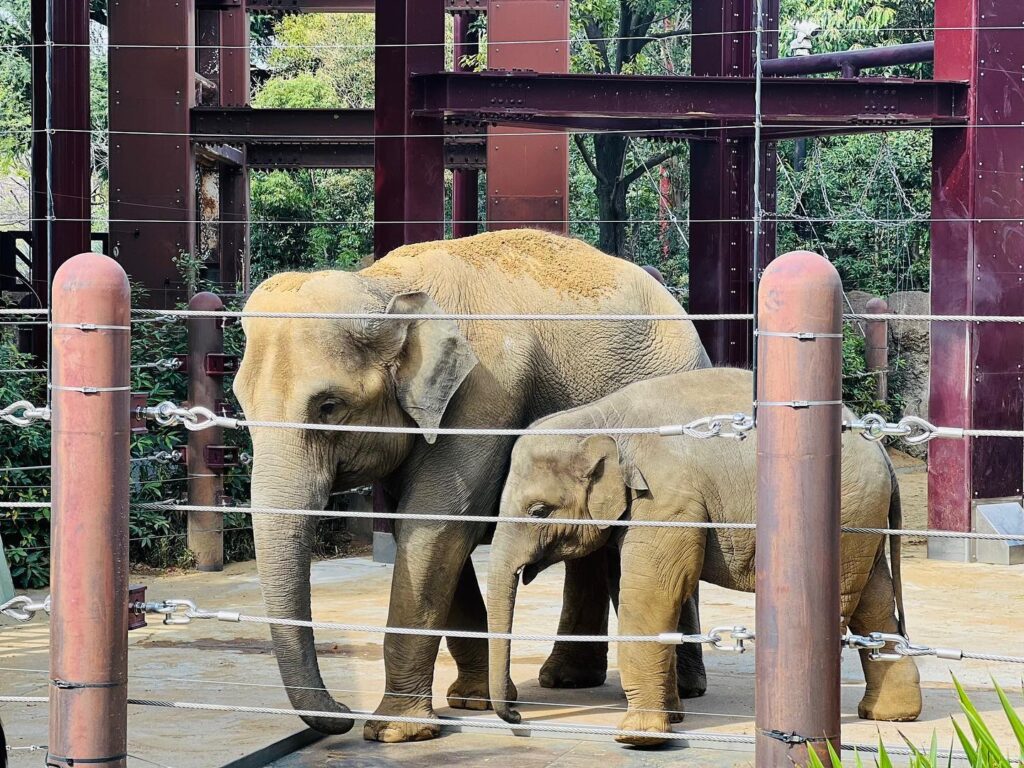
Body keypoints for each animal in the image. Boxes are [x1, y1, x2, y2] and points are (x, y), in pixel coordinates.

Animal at [232, 230, 712, 745]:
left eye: (328, 406)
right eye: (241, 403)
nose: (342, 711)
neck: (386, 287)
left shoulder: (483, 396)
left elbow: (436, 528)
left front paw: (392, 732)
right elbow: (429, 535)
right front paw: (472, 702)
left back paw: (684, 691)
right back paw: (566, 679)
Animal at [483, 370, 925, 749]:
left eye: (539, 511)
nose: (518, 717)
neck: (601, 418)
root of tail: (884, 451)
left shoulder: (666, 499)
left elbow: (650, 593)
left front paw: (638, 737)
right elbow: (647, 588)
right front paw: (673, 718)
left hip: (843, 512)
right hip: (860, 520)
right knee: (874, 598)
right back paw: (890, 716)